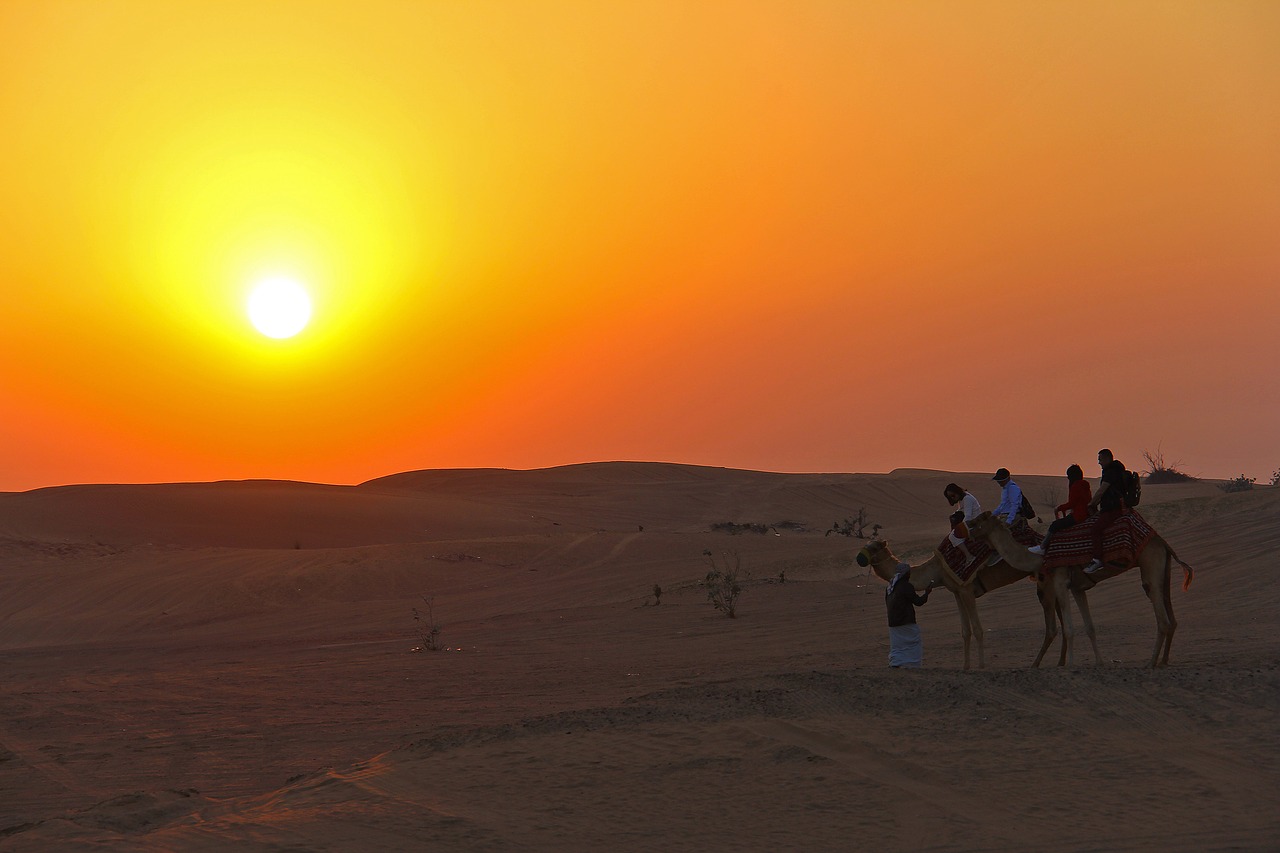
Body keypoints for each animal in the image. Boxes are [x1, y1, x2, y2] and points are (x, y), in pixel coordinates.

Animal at [865, 537, 1064, 671]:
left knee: (1052, 626)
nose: (861, 557)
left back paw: (1036, 663)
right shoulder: (957, 592)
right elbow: (965, 631)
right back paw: (1060, 662)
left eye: (873, 546)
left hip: (1045, 579)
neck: (937, 570)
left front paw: (981, 665)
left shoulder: (967, 590)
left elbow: (977, 629)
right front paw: (965, 666)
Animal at [967, 507, 1198, 666]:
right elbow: (1090, 627)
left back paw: (1150, 663)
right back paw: (1163, 661)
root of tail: (1162, 541)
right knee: (1171, 615)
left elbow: (1069, 628)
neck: (1040, 557)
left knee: (1162, 618)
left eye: (979, 522)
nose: (968, 526)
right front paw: (1099, 662)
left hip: (1149, 563)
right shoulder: (1078, 588)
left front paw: (1070, 664)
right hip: (1163, 569)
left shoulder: (1060, 581)